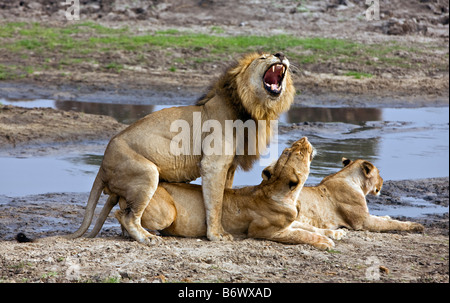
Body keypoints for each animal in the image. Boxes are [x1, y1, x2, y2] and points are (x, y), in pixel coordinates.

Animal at [68, 51, 296, 243]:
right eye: (263, 57)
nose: (280, 54)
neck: (253, 110)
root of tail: (102, 166)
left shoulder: (229, 167)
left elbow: (224, 197)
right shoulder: (213, 164)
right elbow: (215, 202)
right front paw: (216, 235)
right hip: (146, 172)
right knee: (128, 216)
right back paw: (147, 237)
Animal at [87, 139, 342, 251]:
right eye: (294, 151)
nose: (305, 139)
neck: (285, 193)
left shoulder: (291, 222)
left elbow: (308, 226)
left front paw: (334, 233)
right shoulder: (266, 232)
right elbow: (302, 234)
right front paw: (325, 242)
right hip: (165, 211)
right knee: (123, 214)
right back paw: (144, 235)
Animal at [296, 157, 426, 233]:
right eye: (379, 173)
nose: (383, 180)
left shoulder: (366, 215)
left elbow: (382, 218)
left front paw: (387, 216)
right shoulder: (363, 221)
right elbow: (392, 223)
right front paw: (416, 225)